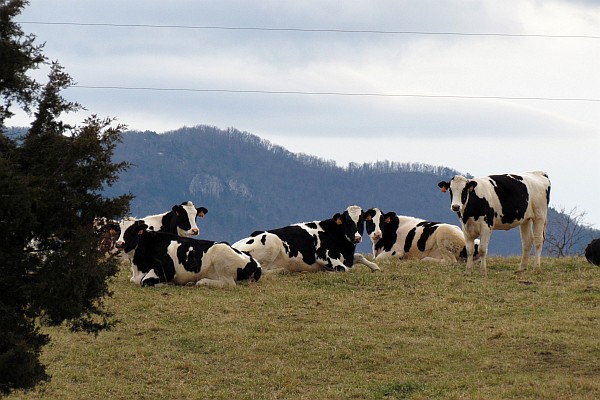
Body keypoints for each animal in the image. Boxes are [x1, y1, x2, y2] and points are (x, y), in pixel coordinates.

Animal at [120, 219, 262, 288]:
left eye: (132, 231)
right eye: (119, 230)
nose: (119, 243)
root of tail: (255, 262)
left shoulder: (167, 269)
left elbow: (144, 281)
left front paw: (167, 284)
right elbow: (134, 280)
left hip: (220, 253)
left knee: (229, 284)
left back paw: (202, 282)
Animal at [233, 205, 380, 274]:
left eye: (360, 221)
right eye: (347, 222)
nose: (357, 237)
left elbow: (359, 256)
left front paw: (376, 267)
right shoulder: (323, 256)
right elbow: (348, 269)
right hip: (272, 242)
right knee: (263, 269)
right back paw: (284, 270)